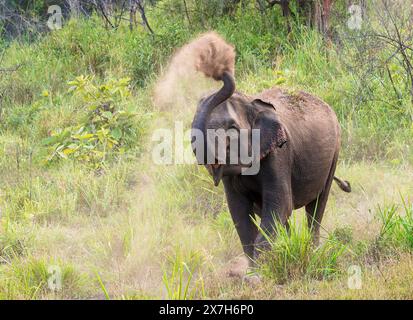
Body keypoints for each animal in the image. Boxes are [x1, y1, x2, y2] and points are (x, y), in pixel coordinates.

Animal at [190, 71, 348, 264]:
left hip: (334, 153)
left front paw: (262, 268)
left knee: (316, 206)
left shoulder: (279, 154)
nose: (220, 72)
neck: (251, 103)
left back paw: (312, 252)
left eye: (232, 129)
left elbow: (280, 205)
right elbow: (240, 213)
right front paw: (259, 267)